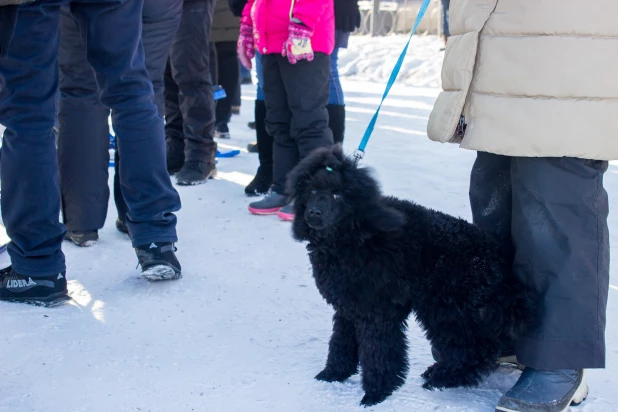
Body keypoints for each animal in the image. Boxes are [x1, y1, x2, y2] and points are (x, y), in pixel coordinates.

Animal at [286, 145, 536, 406]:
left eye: (338, 195)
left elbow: (379, 352)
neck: (356, 234)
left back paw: (442, 377)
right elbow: (341, 342)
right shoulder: (349, 306)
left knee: (475, 348)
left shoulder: (378, 311)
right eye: (313, 190)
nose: (314, 212)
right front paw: (334, 373)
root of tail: (495, 259)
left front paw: (377, 392)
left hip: (443, 305)